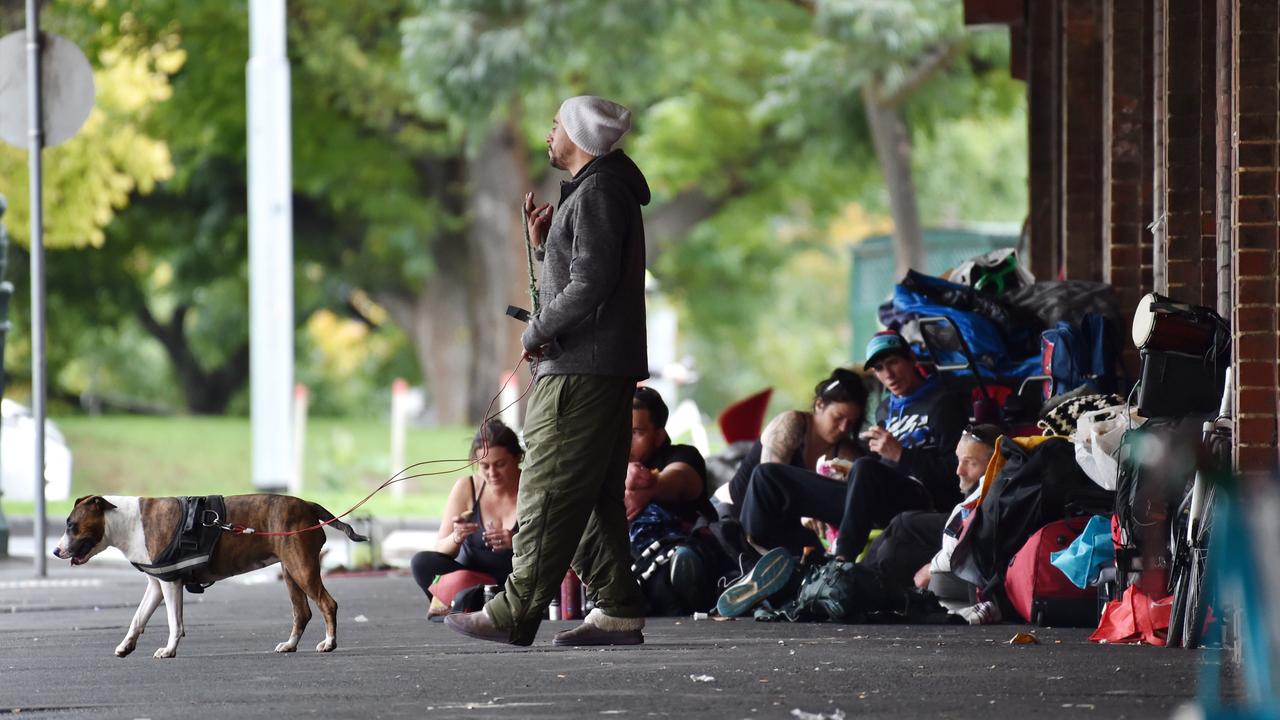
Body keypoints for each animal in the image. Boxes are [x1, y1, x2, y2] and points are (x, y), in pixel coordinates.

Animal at [51, 491, 366, 655]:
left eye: (71, 525)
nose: (55, 551)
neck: (127, 522)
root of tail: (308, 505)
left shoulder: (170, 583)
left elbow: (173, 622)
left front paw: (169, 650)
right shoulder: (156, 584)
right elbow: (137, 618)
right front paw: (126, 645)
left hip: (302, 568)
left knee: (327, 604)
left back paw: (329, 643)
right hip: (291, 572)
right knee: (302, 612)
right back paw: (289, 645)